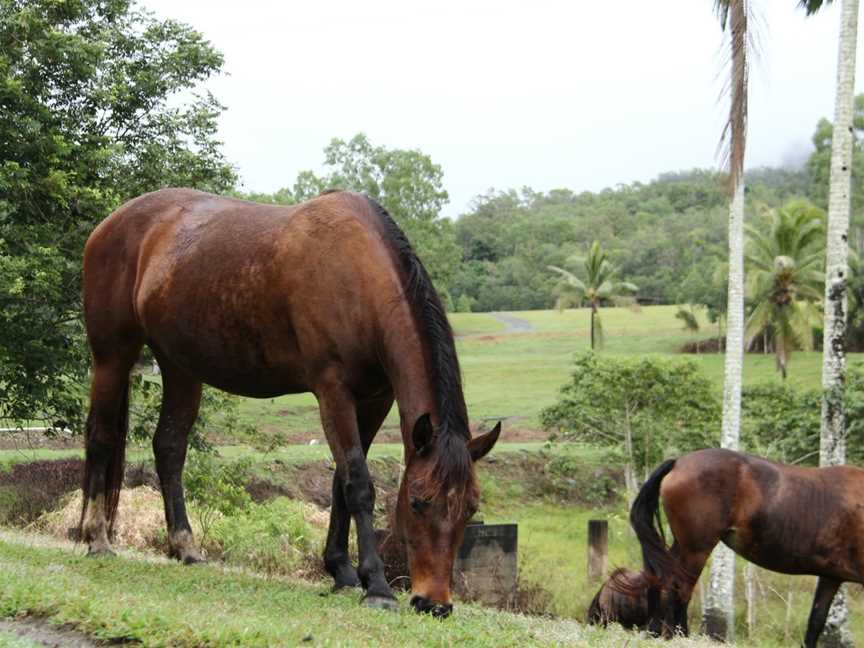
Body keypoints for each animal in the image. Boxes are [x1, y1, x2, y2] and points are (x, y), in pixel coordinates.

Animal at [82, 189, 500, 616]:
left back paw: (186, 547)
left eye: (470, 508)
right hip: (112, 356)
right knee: (101, 438)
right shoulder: (333, 391)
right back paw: (98, 539)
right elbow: (358, 483)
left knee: (169, 447)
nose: (435, 604)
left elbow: (340, 482)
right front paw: (377, 586)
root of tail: (111, 223)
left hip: (180, 367)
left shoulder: (375, 400)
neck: (358, 276)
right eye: (417, 502)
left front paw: (342, 571)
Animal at [628, 448, 864, 644]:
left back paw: (656, 631)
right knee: (680, 588)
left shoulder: (830, 577)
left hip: (684, 546)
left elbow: (815, 622)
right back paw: (679, 635)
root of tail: (678, 462)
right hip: (696, 550)